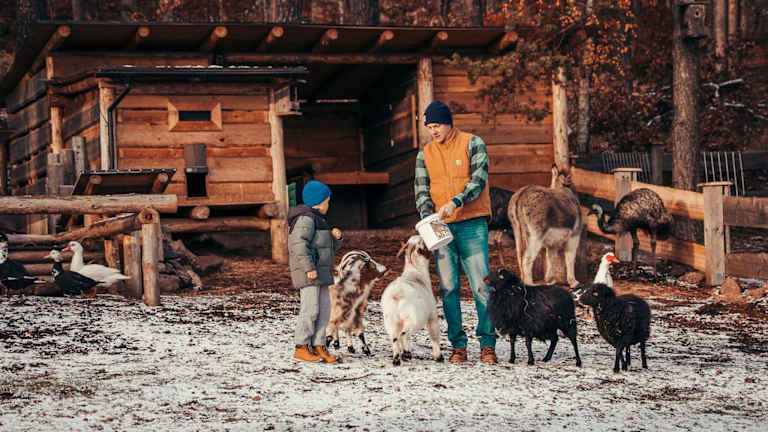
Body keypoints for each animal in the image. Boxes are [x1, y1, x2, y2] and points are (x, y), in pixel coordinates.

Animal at [381, 235, 443, 366]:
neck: (415, 272)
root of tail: (397, 294)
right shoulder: (432, 316)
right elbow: (434, 336)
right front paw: (439, 356)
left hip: (390, 320)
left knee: (395, 337)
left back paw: (397, 358)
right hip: (414, 317)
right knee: (404, 334)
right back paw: (405, 354)